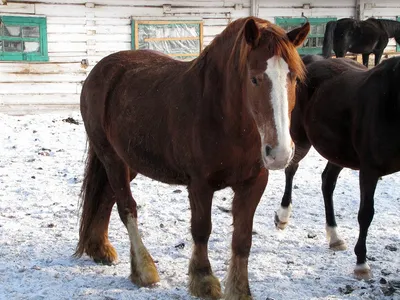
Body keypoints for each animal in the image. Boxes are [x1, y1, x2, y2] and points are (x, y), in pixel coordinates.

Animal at [74, 17, 310, 298]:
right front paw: (203, 279)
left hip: (128, 161)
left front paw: (240, 289)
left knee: (107, 197)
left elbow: (242, 238)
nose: (280, 153)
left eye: (293, 78)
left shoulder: (253, 183)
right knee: (126, 207)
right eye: (254, 79)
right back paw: (143, 270)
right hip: (111, 158)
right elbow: (201, 229)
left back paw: (99, 248)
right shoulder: (199, 185)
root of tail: (100, 71)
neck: (221, 117)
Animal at [274, 55, 400, 282]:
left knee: (327, 181)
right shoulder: (369, 170)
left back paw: (334, 236)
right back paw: (283, 216)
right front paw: (361, 263)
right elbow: (366, 214)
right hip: (301, 138)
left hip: (338, 152)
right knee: (291, 169)